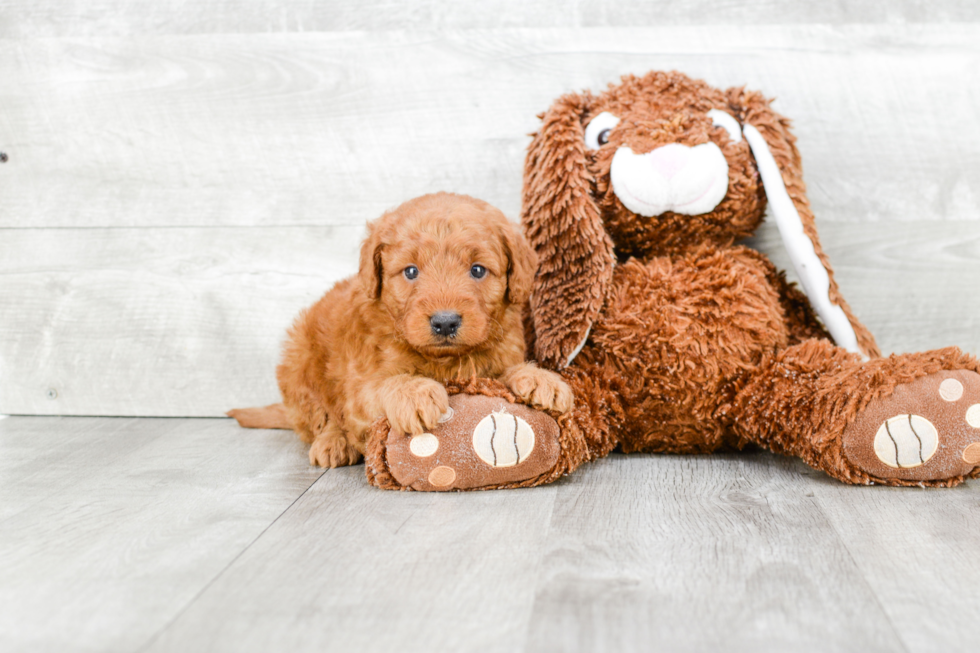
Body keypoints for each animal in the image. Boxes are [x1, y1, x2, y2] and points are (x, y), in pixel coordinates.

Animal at [230, 191, 572, 466]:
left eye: (477, 270)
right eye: (410, 271)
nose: (445, 322)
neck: (443, 361)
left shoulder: (497, 356)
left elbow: (506, 370)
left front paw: (541, 379)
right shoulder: (360, 386)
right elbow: (385, 385)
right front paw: (415, 393)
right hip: (298, 361)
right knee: (320, 416)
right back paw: (333, 443)